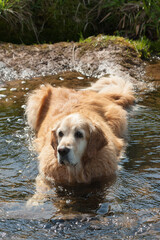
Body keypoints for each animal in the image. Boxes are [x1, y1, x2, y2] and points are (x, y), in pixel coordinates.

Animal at [26, 76, 135, 204]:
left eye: (79, 134)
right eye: (60, 133)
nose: (62, 150)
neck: (76, 170)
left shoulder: (107, 176)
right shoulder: (48, 176)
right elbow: (42, 188)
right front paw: (34, 202)